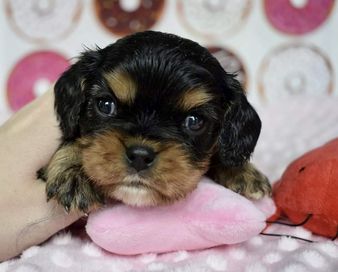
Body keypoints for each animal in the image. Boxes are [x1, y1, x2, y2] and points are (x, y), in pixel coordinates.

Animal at [39, 30, 272, 212]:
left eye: (194, 121)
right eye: (106, 105)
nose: (140, 156)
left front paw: (243, 172)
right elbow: (73, 141)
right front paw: (74, 173)